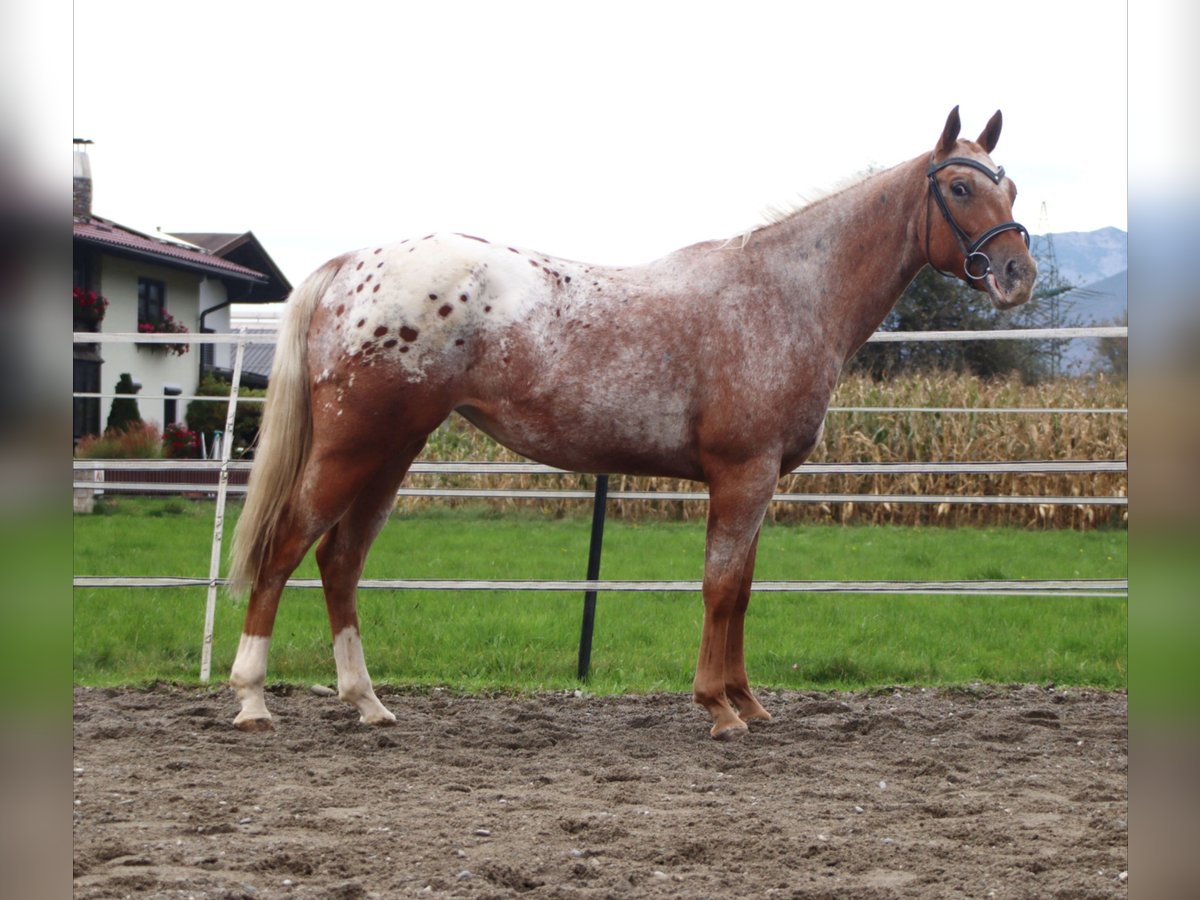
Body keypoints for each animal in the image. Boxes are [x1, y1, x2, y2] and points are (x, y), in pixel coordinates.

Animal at [229, 107, 1036, 739]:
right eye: (959, 186)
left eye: (1010, 187)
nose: (1016, 275)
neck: (784, 294)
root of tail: (352, 264)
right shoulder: (741, 475)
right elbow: (719, 588)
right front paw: (719, 708)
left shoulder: (759, 482)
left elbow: (743, 589)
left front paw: (748, 701)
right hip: (354, 446)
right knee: (285, 546)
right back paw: (252, 700)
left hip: (392, 452)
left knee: (340, 561)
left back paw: (367, 702)